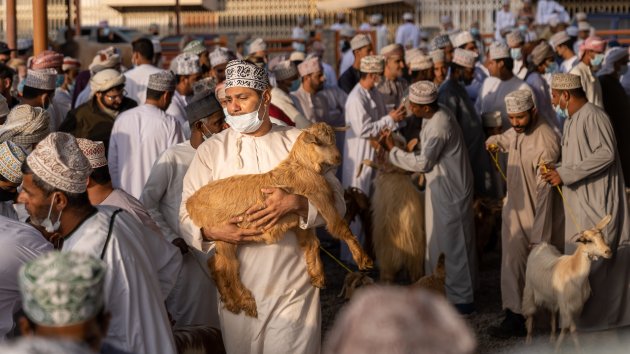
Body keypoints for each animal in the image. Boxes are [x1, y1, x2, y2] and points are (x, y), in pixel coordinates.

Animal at [524, 214, 612, 350]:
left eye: (602, 236)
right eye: (588, 240)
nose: (608, 251)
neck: (573, 269)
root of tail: (542, 245)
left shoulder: (574, 305)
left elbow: (567, 328)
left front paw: (558, 346)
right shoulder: (566, 305)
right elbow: (572, 329)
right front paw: (572, 349)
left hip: (553, 296)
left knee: (552, 314)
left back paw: (552, 337)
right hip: (529, 289)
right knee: (530, 313)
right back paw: (528, 339)